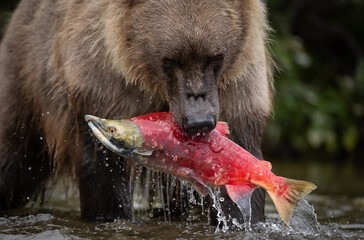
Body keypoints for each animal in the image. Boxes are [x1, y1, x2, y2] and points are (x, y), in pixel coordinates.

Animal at [0, 0, 272, 224]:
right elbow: (103, 169)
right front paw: (111, 215)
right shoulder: (104, 84)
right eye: (170, 59)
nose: (199, 120)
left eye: (216, 57)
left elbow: (236, 164)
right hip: (27, 82)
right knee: (13, 157)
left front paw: (241, 216)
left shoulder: (236, 91)